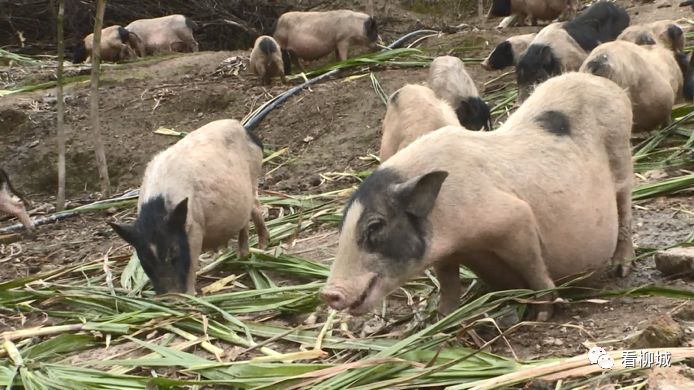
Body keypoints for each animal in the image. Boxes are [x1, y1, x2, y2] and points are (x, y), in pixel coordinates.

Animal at [110, 120, 270, 294]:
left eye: (173, 252)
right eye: (145, 260)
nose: (170, 297)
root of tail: (245, 129)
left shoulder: (195, 226)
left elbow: (192, 264)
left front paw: (190, 295)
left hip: (254, 176)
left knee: (255, 209)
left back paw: (259, 249)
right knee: (248, 216)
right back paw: (238, 255)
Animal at [322, 72, 636, 320]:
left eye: (375, 226)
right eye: (342, 228)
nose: (328, 293)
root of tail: (609, 85)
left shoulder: (515, 219)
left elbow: (533, 267)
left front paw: (542, 315)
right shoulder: (445, 252)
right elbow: (448, 283)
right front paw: (439, 320)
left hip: (622, 155)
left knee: (624, 207)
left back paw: (621, 269)